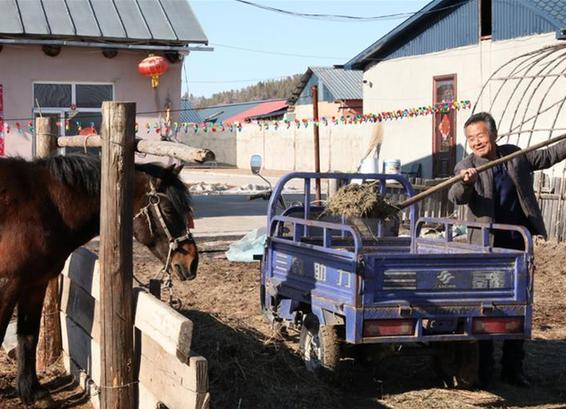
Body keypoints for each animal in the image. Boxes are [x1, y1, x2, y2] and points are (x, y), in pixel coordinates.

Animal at [0, 154, 200, 404]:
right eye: (169, 210)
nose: (192, 261)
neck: (45, 204)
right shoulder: (9, 283)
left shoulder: (35, 283)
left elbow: (29, 335)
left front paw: (32, 391)